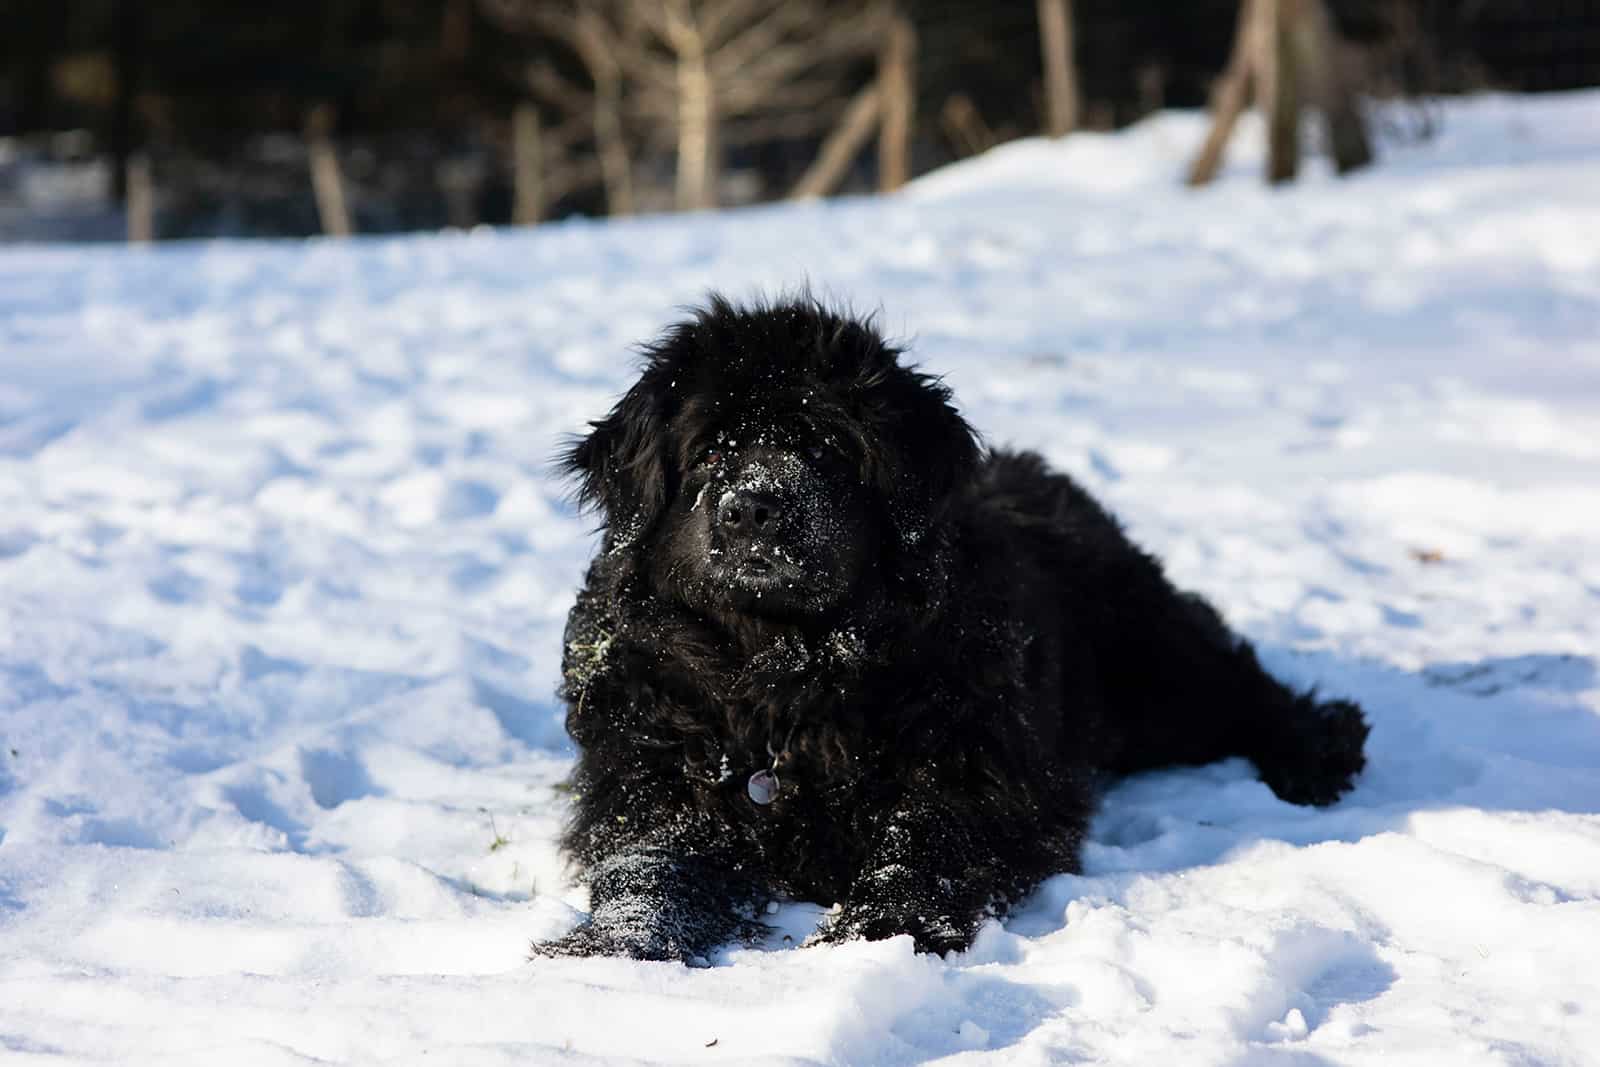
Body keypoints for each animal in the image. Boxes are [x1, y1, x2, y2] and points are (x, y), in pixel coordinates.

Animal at [534, 295, 1363, 966]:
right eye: (710, 449)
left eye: (827, 448)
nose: (755, 506)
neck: (780, 677)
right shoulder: (655, 780)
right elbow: (652, 866)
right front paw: (610, 946)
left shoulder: (975, 772)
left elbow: (922, 846)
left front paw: (869, 933)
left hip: (1155, 669)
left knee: (1245, 689)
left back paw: (1319, 753)